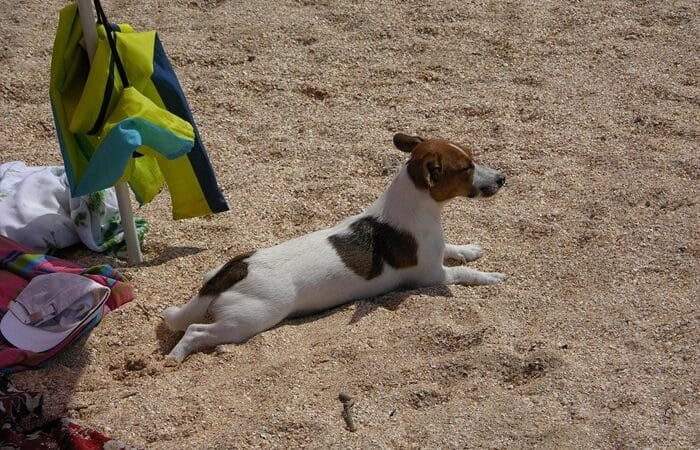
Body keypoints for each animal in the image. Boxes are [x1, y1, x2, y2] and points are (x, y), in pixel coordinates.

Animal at [162, 132, 506, 364]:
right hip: (248, 320)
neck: (415, 209)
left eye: (472, 158)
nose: (503, 178)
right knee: (196, 330)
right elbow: (465, 273)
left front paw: (470, 249)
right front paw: (490, 277)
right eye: (466, 169)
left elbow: (455, 249)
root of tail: (234, 270)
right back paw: (176, 356)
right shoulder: (430, 276)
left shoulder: (437, 253)